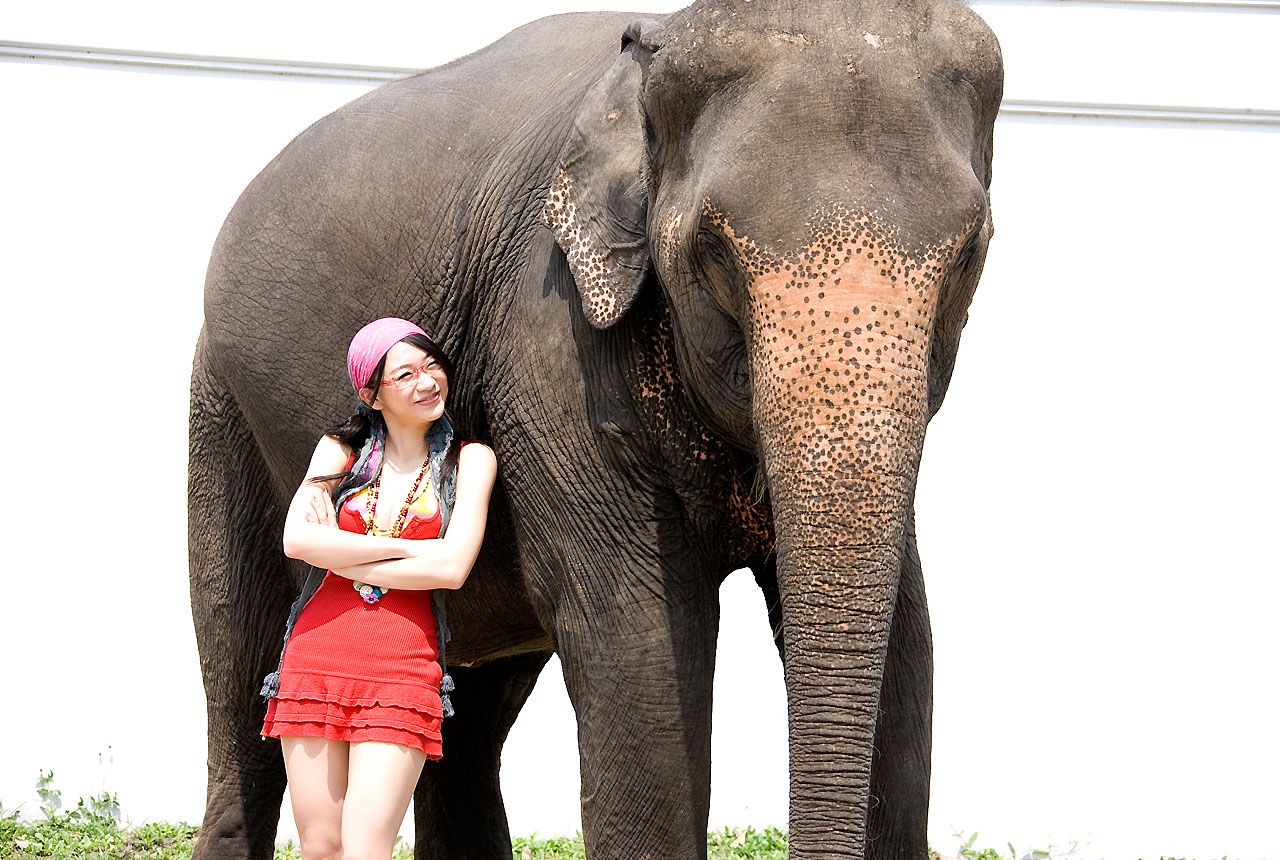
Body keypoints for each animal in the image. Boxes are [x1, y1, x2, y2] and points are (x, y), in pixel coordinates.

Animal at [189, 1, 1003, 860]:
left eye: (969, 255)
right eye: (713, 252)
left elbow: (909, 640)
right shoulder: (551, 340)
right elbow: (639, 642)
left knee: (466, 718)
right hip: (223, 405)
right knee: (241, 663)